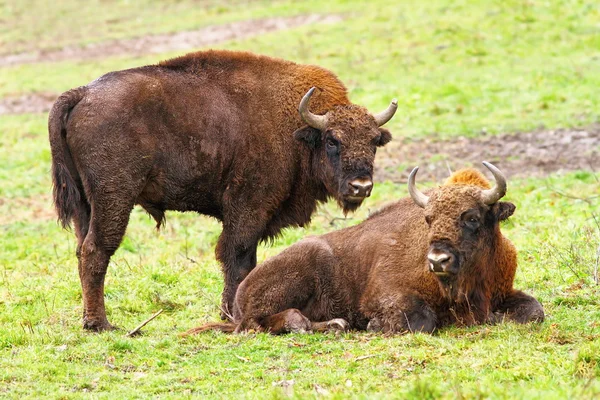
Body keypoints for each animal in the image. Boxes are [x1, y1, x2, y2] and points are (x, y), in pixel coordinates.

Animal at [50, 49, 398, 332]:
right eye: (332, 140)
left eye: (373, 141)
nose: (361, 186)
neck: (295, 128)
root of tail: (82, 94)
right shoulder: (248, 209)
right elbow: (239, 257)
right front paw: (231, 313)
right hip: (114, 198)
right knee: (97, 250)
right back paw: (100, 324)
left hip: (85, 204)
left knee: (82, 249)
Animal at [186, 162, 544, 334]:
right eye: (428, 218)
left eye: (471, 217)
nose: (438, 260)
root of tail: (240, 294)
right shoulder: (385, 295)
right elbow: (421, 321)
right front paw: (374, 326)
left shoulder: (503, 291)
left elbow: (534, 311)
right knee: (256, 324)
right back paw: (318, 324)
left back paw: (335, 326)